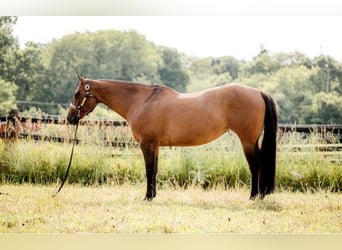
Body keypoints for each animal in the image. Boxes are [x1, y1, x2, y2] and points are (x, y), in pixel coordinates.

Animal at [67, 74, 278, 201]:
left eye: (77, 93)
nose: (70, 118)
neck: (142, 101)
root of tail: (258, 92)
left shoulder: (147, 144)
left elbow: (149, 170)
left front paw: (147, 197)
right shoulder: (155, 146)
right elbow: (155, 170)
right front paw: (153, 195)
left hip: (247, 141)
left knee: (255, 165)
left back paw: (254, 196)